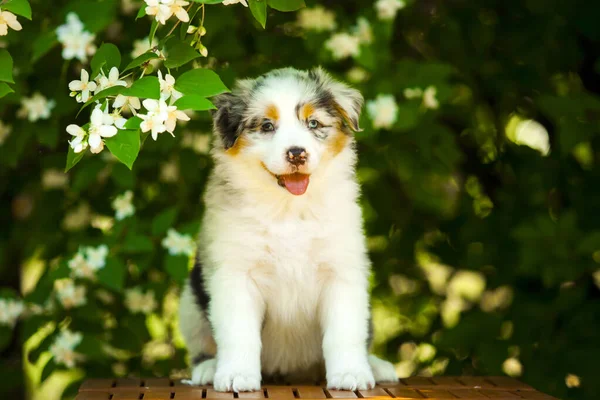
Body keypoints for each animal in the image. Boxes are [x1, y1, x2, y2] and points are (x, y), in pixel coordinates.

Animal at [177, 67, 398, 392]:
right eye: (267, 126)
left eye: (313, 123)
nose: (297, 153)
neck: (289, 209)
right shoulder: (235, 274)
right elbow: (239, 333)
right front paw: (237, 375)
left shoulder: (342, 271)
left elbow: (344, 332)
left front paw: (350, 373)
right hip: (190, 303)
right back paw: (207, 368)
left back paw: (377, 366)